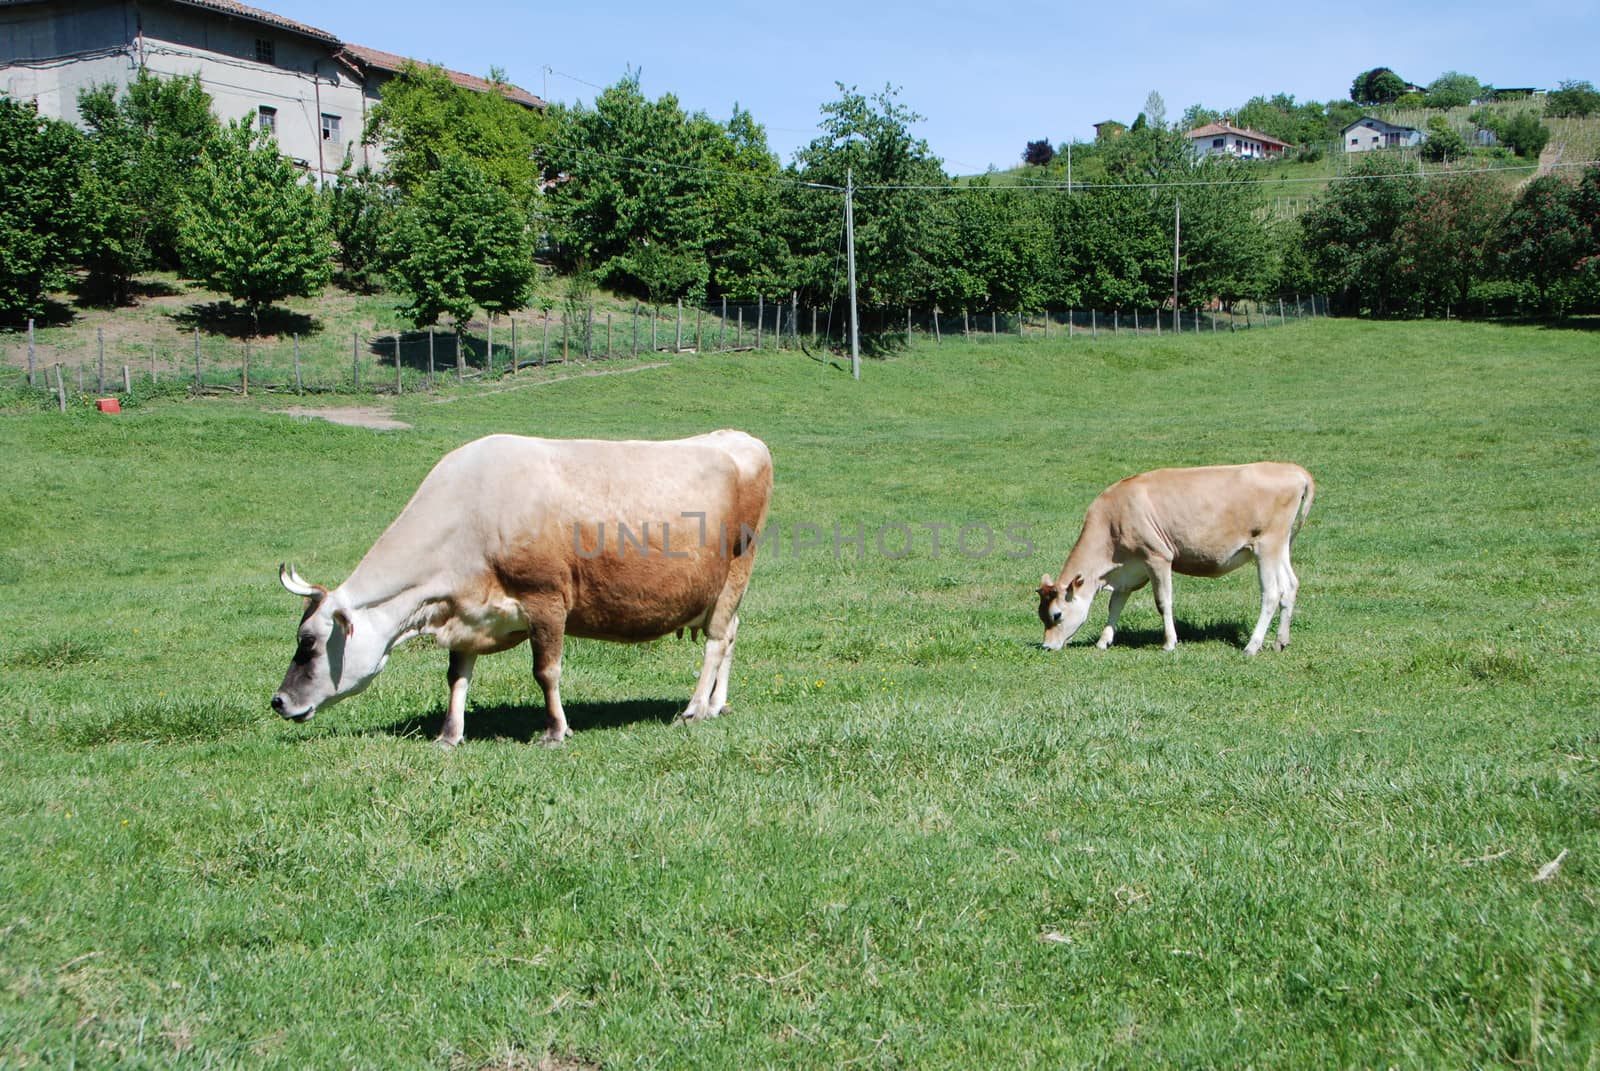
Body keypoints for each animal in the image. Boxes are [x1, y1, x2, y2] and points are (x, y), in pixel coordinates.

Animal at [272, 429, 771, 749]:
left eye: (309, 642)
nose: (278, 701)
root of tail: (740, 438)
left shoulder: (547, 599)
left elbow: (546, 671)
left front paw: (555, 731)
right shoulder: (467, 610)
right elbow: (457, 676)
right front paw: (449, 734)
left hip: (735, 571)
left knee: (716, 640)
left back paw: (695, 708)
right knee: (731, 634)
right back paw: (718, 704)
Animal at [1036, 464, 1312, 656]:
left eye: (1057, 614)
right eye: (1041, 615)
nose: (1047, 646)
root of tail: (1294, 470)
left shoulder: (1157, 557)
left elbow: (1163, 602)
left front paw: (1169, 642)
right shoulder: (1128, 570)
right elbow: (1115, 605)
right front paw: (1103, 641)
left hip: (1266, 545)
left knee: (1272, 593)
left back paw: (1252, 645)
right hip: (1281, 546)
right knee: (1290, 586)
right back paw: (1280, 641)